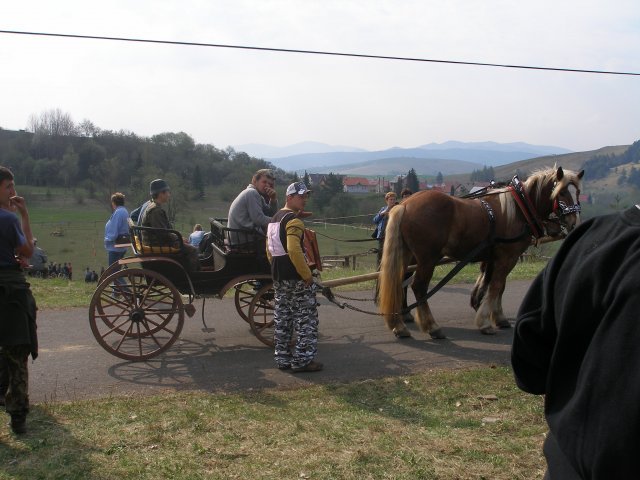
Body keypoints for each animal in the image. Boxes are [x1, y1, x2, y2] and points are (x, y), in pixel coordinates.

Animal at [380, 167, 584, 340]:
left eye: (577, 192)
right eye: (562, 192)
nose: (573, 221)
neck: (520, 208)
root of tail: (405, 205)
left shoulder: (494, 257)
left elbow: (497, 286)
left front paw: (497, 316)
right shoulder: (507, 256)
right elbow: (496, 286)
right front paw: (485, 322)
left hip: (407, 254)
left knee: (398, 281)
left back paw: (399, 325)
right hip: (427, 258)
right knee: (419, 286)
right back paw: (432, 326)